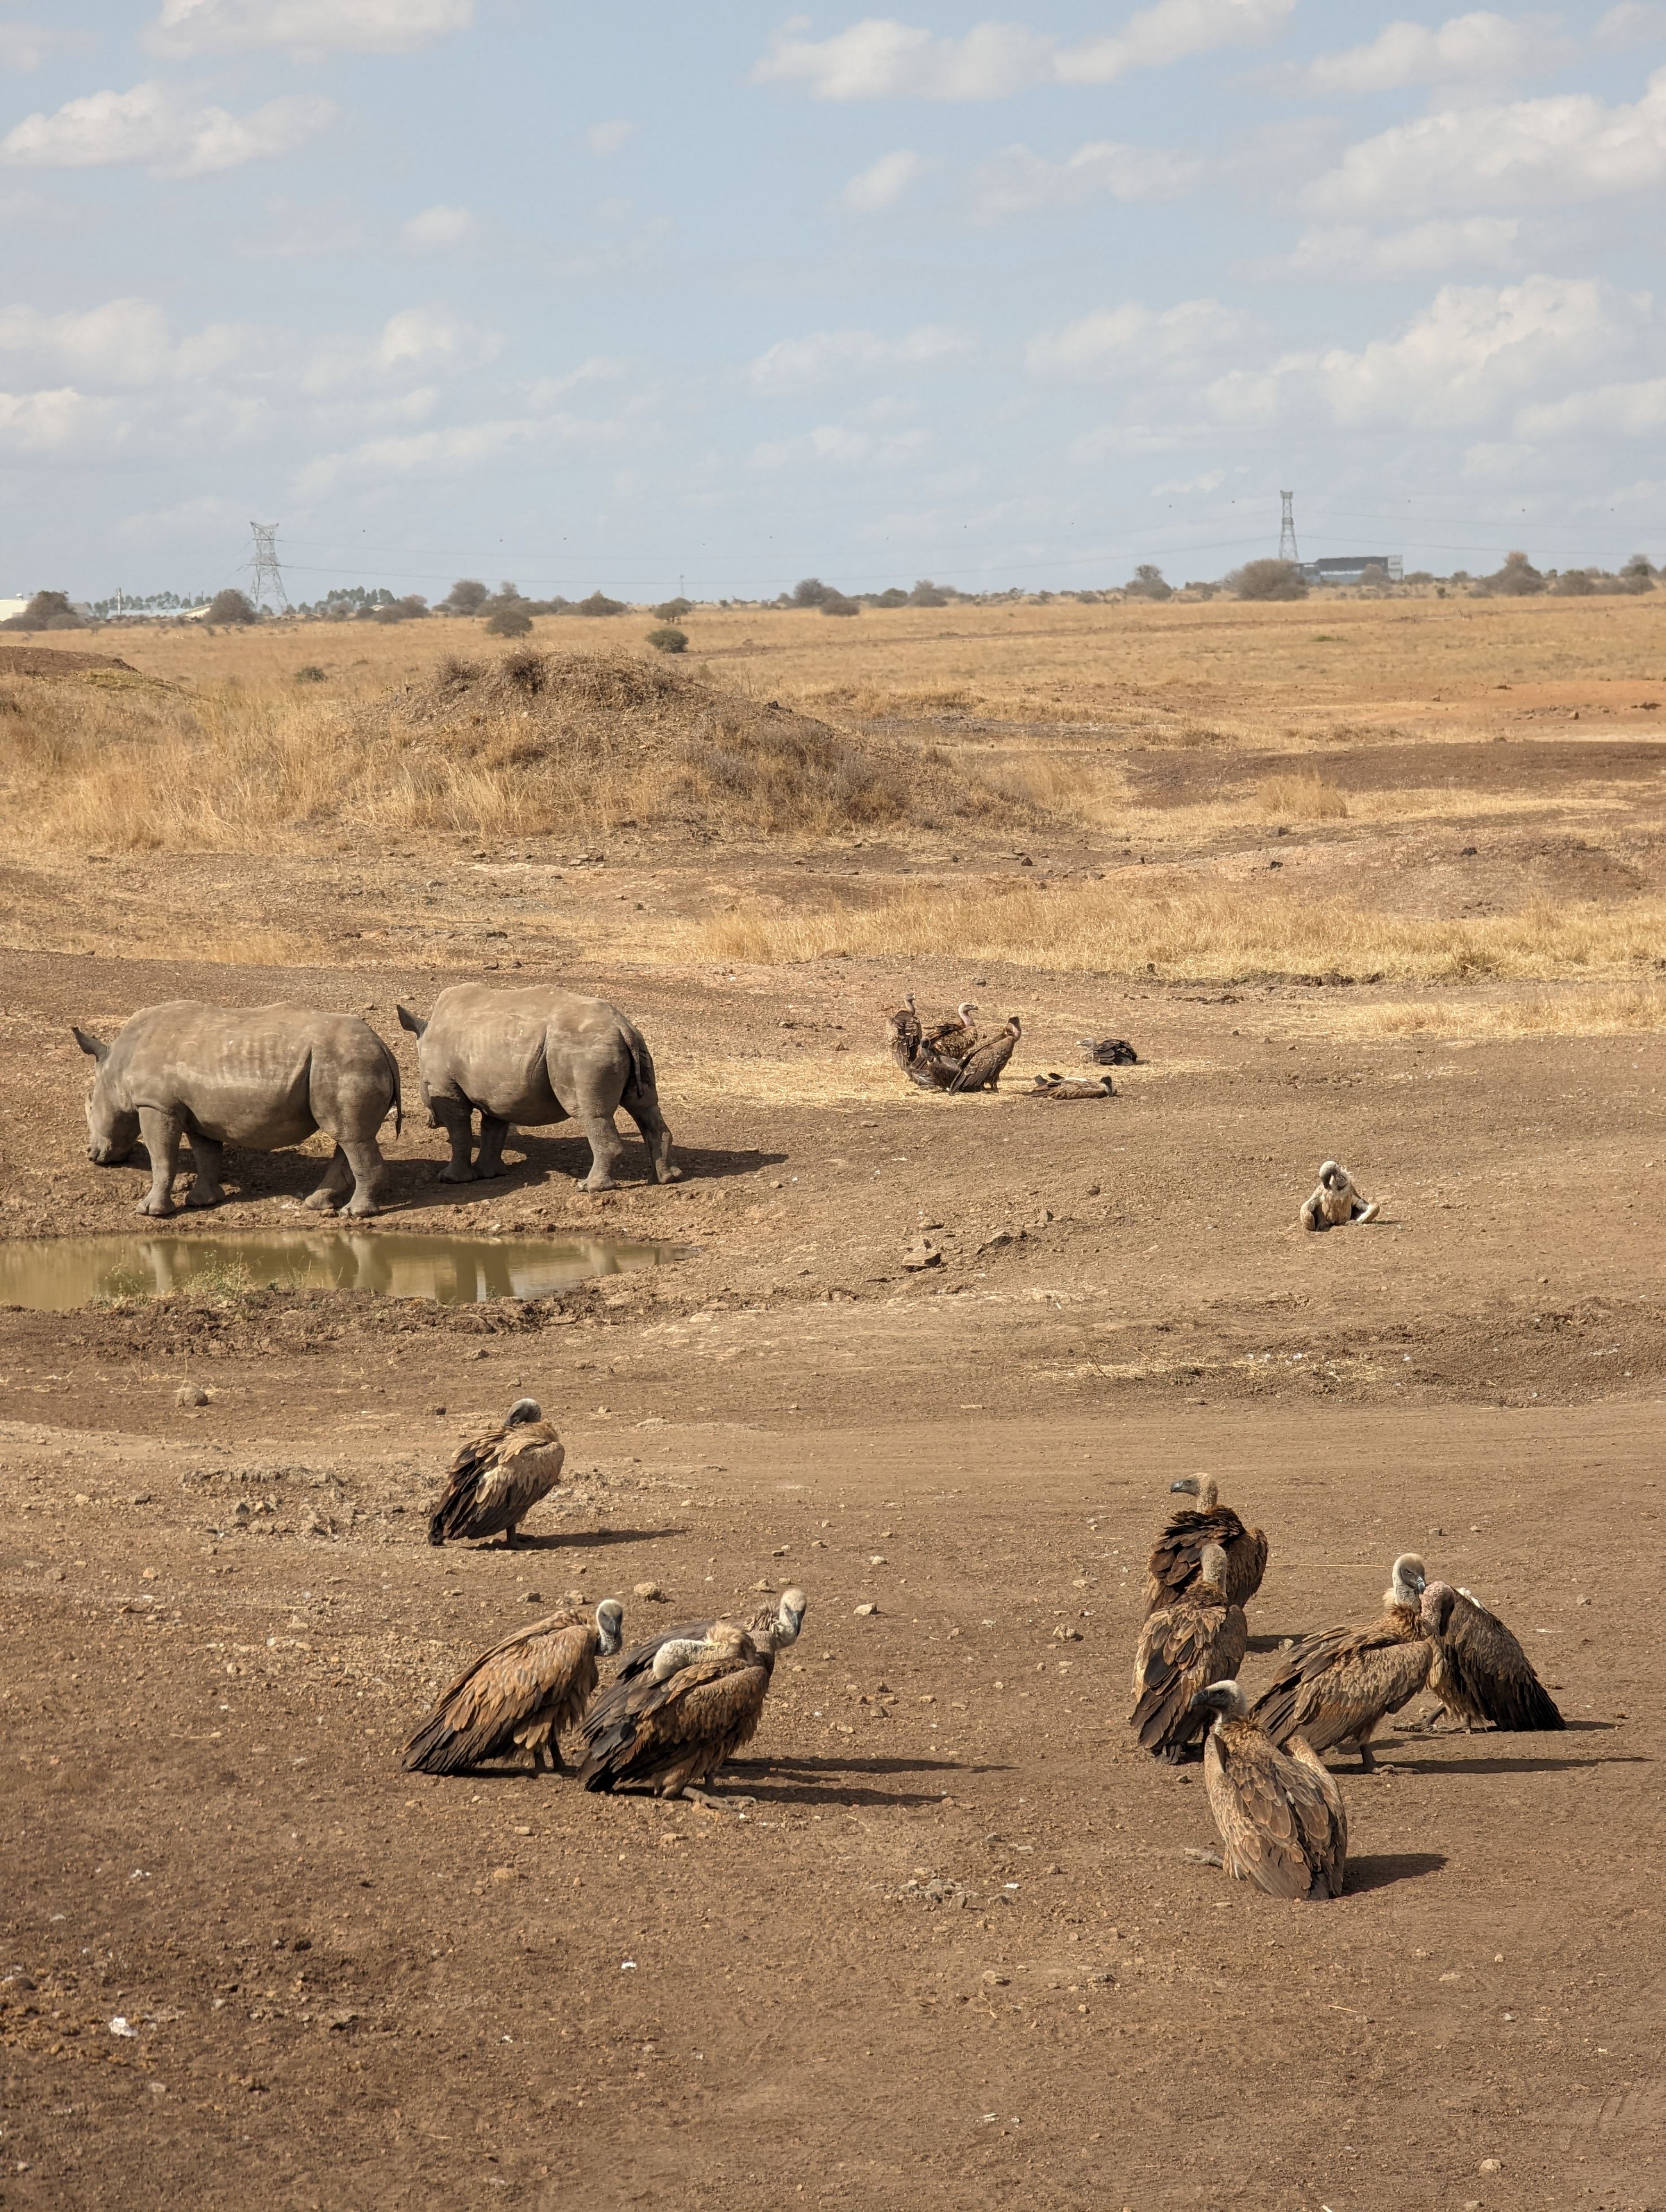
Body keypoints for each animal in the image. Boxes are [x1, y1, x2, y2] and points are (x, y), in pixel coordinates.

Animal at [73, 1001, 402, 1218]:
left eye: (91, 1106)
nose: (92, 1154)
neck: (116, 1065)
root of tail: (384, 1047)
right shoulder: (198, 1112)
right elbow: (206, 1155)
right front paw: (202, 1202)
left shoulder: (156, 1105)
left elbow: (162, 1158)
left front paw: (150, 1211)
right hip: (348, 1062)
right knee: (348, 1137)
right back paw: (317, 1204)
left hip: (346, 1062)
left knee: (351, 1138)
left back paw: (355, 1213)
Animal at [397, 984, 676, 1192]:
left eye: (422, 1086)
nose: (431, 1123)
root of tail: (622, 1026)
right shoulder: (497, 1090)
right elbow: (493, 1130)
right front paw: (490, 1174)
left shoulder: (445, 1088)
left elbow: (460, 1132)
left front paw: (451, 1179)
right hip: (633, 1043)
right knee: (645, 1107)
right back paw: (664, 1179)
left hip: (583, 1051)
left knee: (590, 1114)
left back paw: (589, 1187)